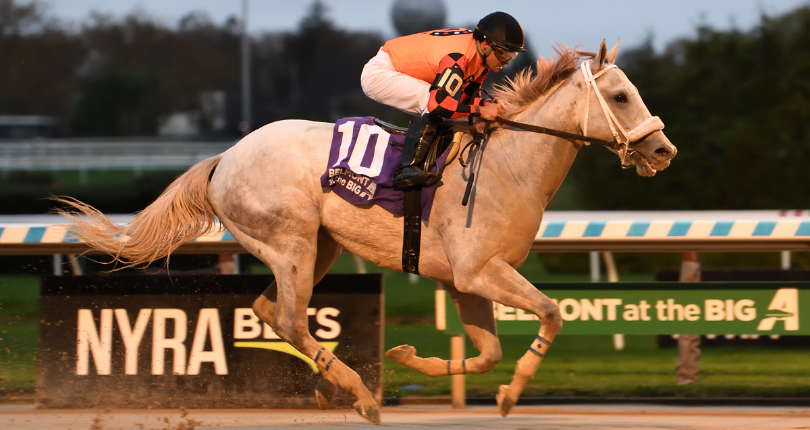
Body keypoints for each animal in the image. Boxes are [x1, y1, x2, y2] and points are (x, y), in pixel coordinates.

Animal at [56, 42, 672, 424]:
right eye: (621, 95)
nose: (663, 150)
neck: (508, 166)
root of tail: (225, 157)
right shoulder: (481, 270)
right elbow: (550, 313)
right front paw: (512, 391)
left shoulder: (465, 281)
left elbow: (488, 352)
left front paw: (411, 358)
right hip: (292, 241)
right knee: (287, 316)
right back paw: (356, 392)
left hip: (317, 246)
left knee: (269, 308)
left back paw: (330, 383)